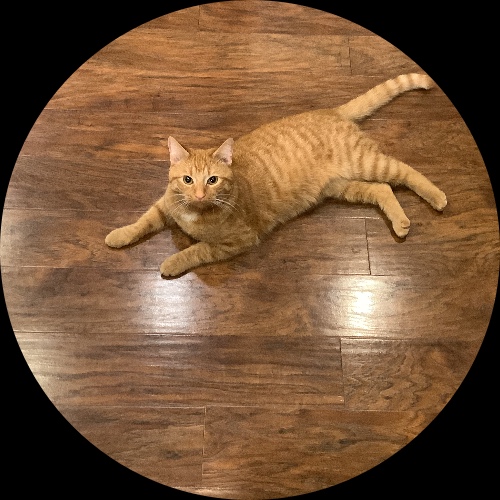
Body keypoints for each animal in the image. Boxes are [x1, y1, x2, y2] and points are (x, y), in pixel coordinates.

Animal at [105, 73, 447, 277]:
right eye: (187, 180)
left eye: (212, 180)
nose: (200, 194)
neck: (195, 213)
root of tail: (331, 112)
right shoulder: (165, 206)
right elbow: (141, 222)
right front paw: (119, 235)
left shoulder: (236, 241)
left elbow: (196, 250)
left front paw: (172, 262)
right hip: (344, 186)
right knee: (383, 189)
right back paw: (401, 222)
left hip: (368, 162)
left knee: (406, 171)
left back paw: (437, 196)